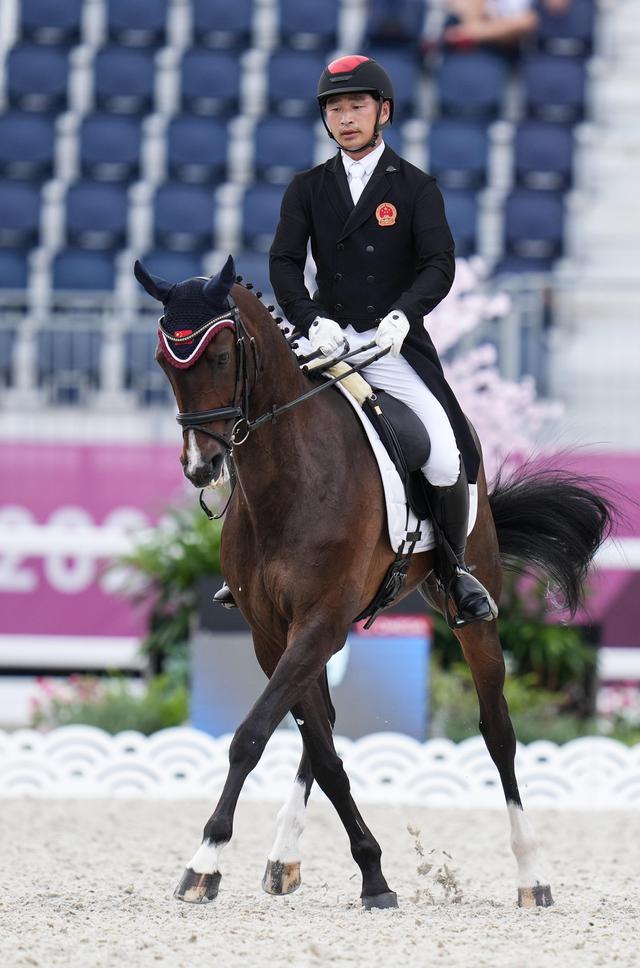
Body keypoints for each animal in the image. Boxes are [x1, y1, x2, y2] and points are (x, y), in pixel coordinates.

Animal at [134, 255, 612, 910]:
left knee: (498, 731)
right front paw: (371, 870)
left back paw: (531, 875)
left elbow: (251, 735)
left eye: (223, 357)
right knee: (326, 728)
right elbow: (322, 750)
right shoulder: (274, 634)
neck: (289, 477)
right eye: (164, 362)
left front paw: (204, 860)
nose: (201, 467)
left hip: (471, 611)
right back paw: (283, 857)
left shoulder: (317, 623)